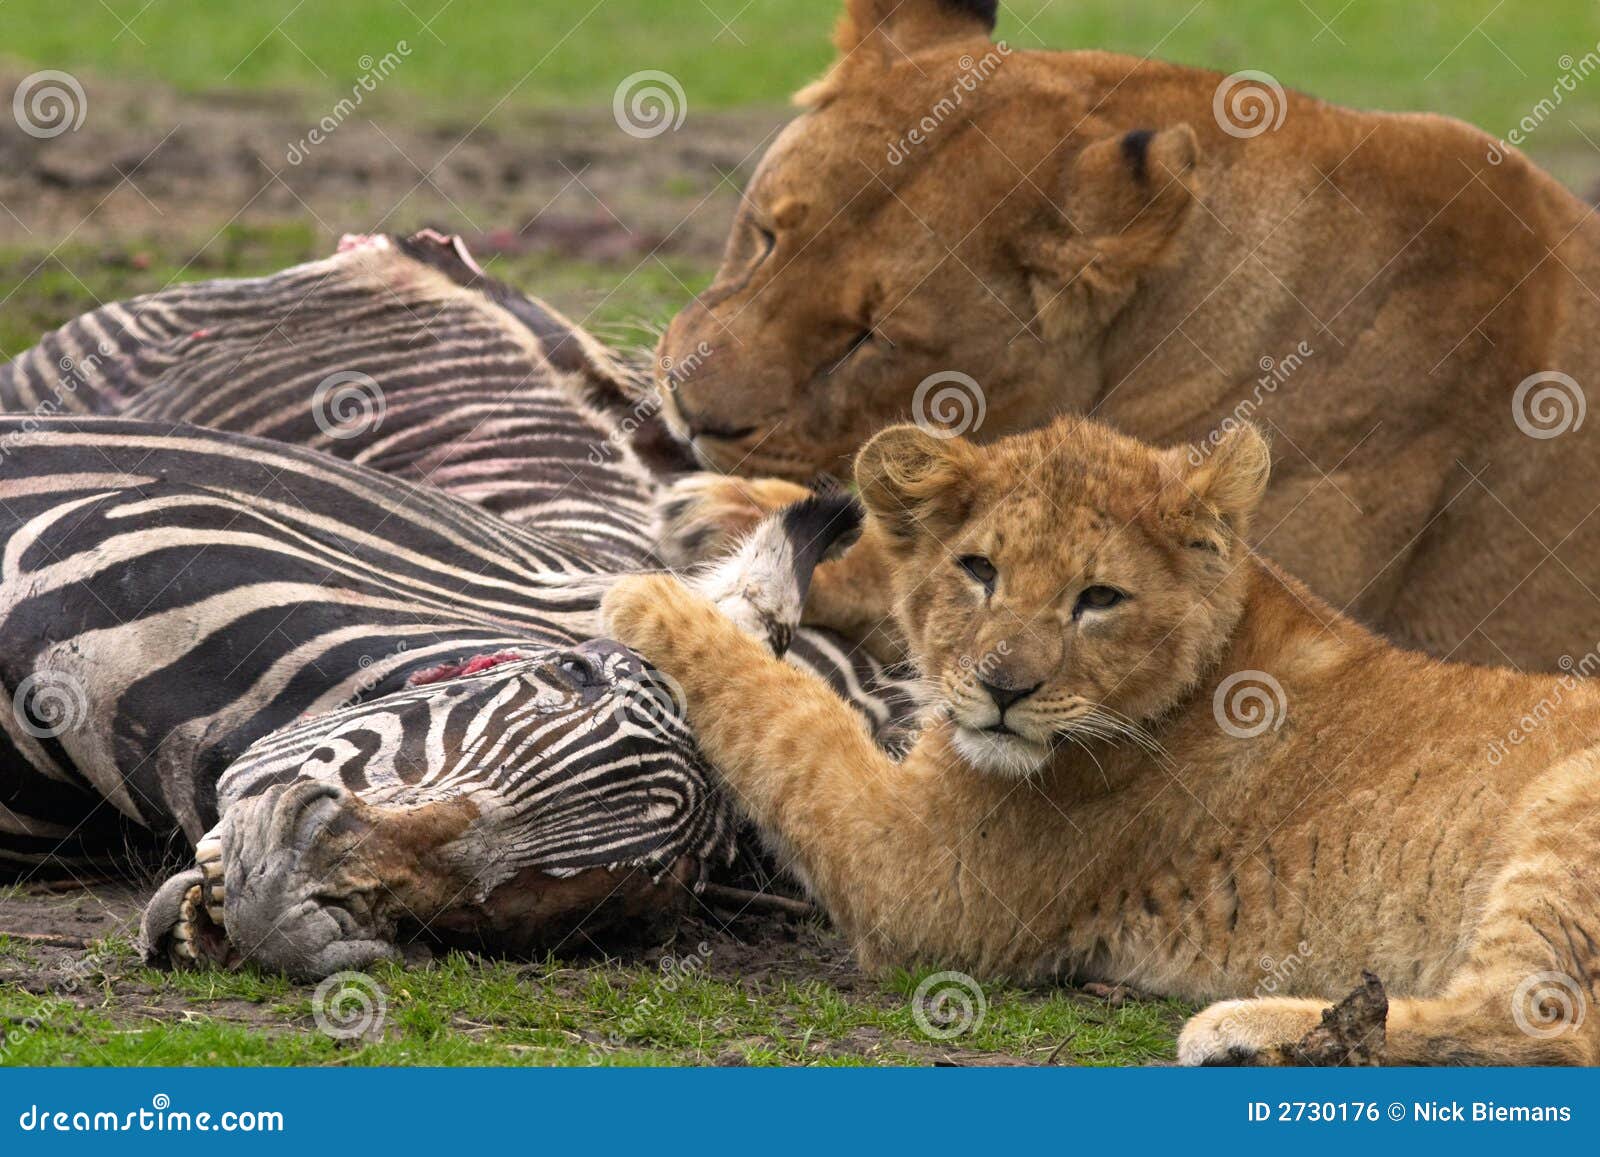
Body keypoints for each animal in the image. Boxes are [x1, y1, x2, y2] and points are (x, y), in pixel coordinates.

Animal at [603, 419, 1600, 1065]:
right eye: (979, 569)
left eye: (1100, 598)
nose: (1004, 688)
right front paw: (727, 508)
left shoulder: (920, 879)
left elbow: (790, 718)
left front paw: (657, 600)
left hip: (1566, 804)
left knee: (1546, 1023)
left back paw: (1256, 1033)